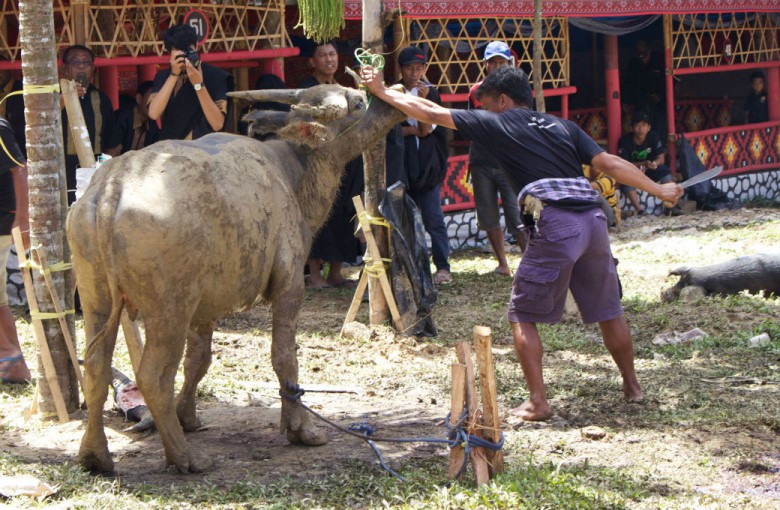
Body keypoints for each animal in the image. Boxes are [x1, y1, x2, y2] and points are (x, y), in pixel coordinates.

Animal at [68, 84, 406, 474]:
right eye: (357, 102)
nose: (394, 94)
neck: (291, 171)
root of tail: (112, 185)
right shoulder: (290, 283)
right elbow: (284, 356)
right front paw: (300, 428)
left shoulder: (205, 307)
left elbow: (199, 360)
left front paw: (187, 416)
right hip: (169, 311)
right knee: (152, 375)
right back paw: (184, 457)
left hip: (97, 299)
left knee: (96, 366)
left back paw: (95, 454)